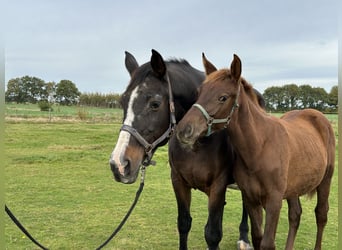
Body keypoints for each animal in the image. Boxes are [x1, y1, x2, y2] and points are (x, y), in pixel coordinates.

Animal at [109, 49, 264, 249]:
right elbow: (183, 224)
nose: (119, 164)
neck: (197, 144)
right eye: (123, 102)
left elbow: (213, 234)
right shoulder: (178, 181)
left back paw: (244, 238)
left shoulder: (218, 187)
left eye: (155, 104)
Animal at [175, 53, 336, 249]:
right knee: (295, 215)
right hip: (294, 187)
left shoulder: (274, 202)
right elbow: (258, 237)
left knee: (321, 215)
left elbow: (267, 243)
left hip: (326, 180)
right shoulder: (251, 199)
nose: (184, 130)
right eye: (199, 93)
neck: (259, 148)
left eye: (223, 97)